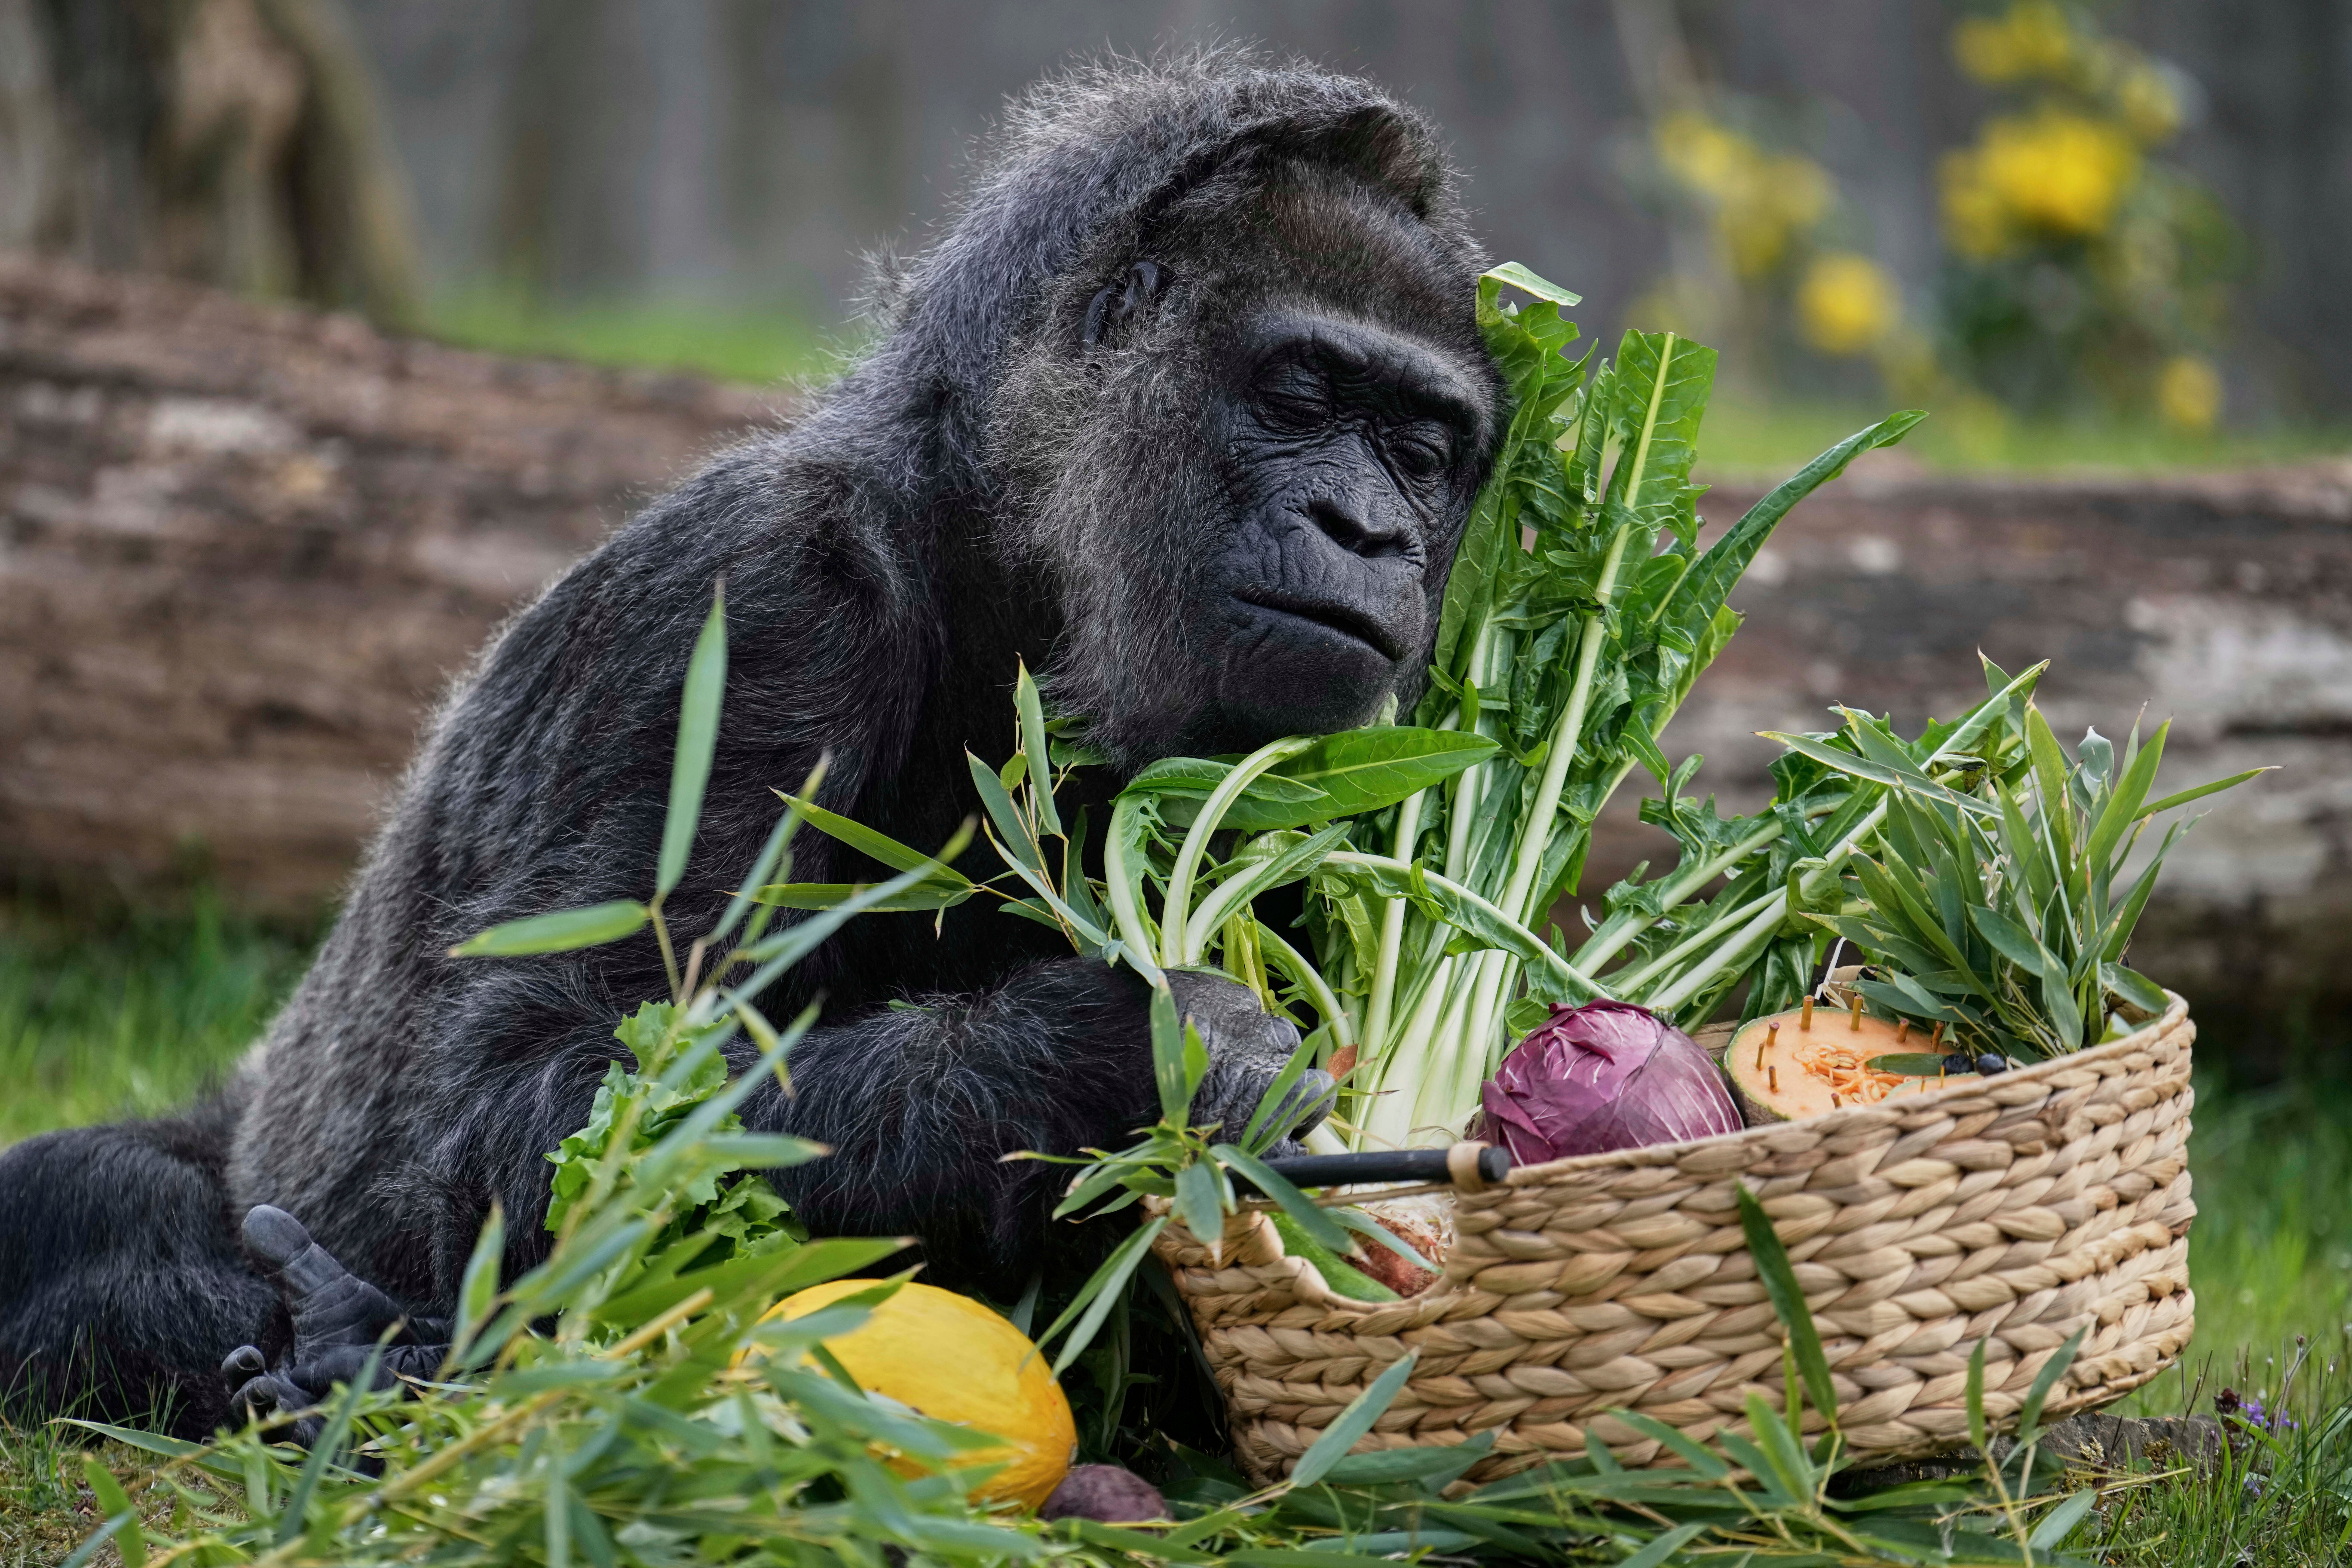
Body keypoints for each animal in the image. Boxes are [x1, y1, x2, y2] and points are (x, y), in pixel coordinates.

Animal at [0, 50, 1503, 1438]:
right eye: (1299, 396)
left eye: (1422, 451)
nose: (1371, 532)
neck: (1009, 558)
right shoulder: (751, 596)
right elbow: (532, 1104)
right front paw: (1127, 1051)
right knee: (105, 1218)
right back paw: (346, 1355)